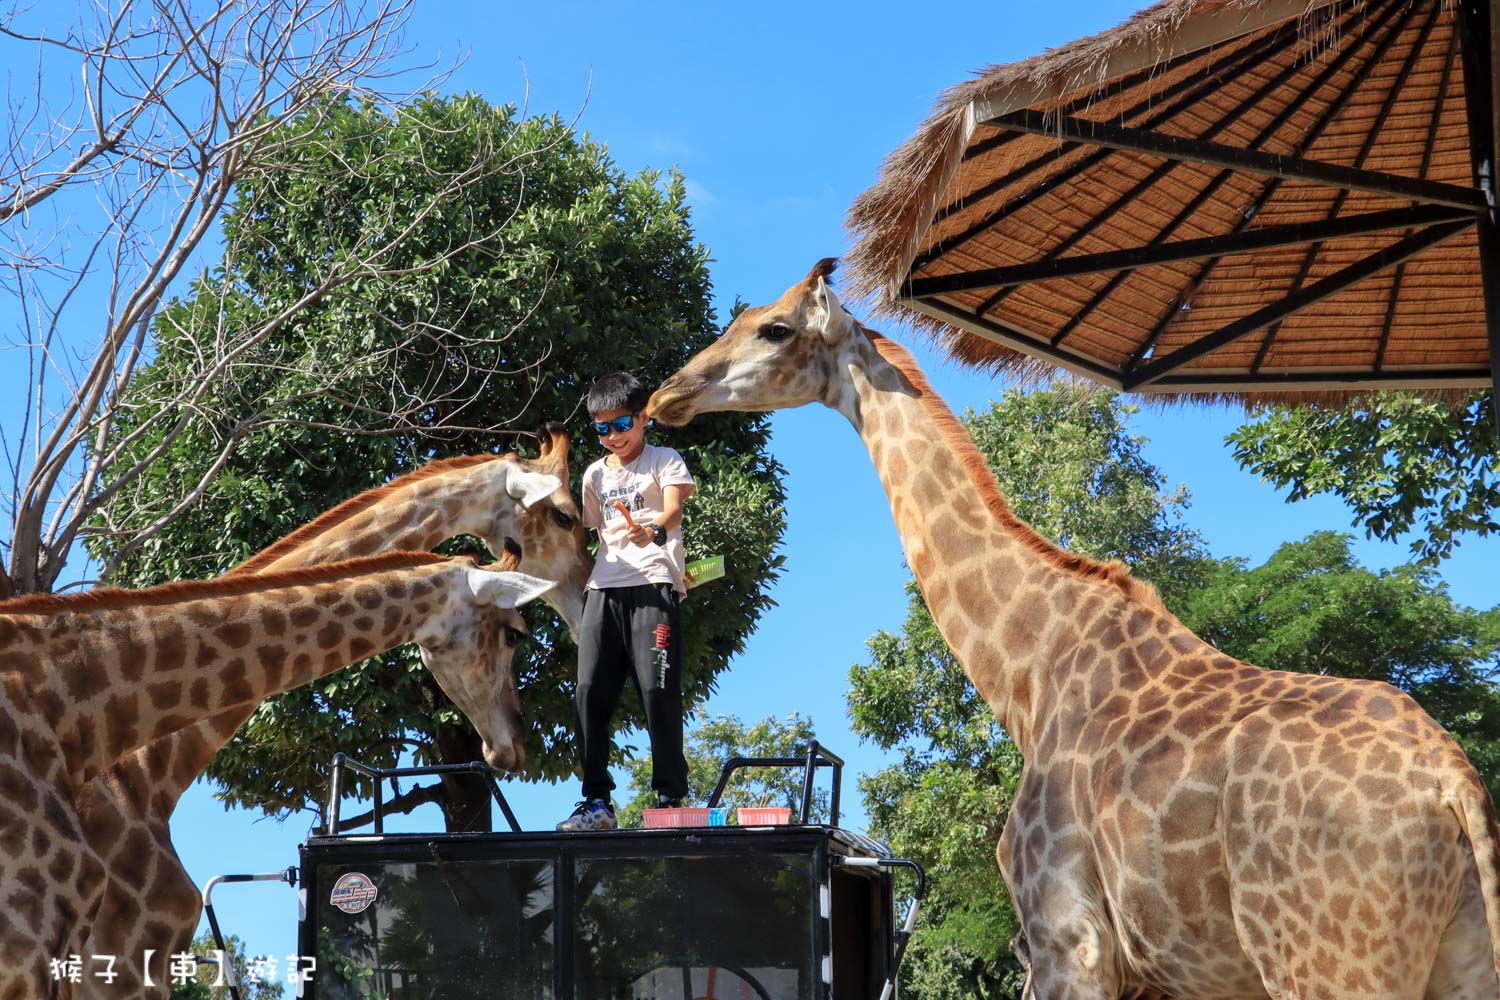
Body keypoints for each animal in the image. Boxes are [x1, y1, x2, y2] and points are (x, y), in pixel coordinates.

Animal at [651, 262, 1500, 1000]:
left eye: (776, 329)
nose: (668, 392)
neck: (1025, 669)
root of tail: (1451, 785)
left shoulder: (1066, 940)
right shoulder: (1154, 974)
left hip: (1327, 960)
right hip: (1459, 958)